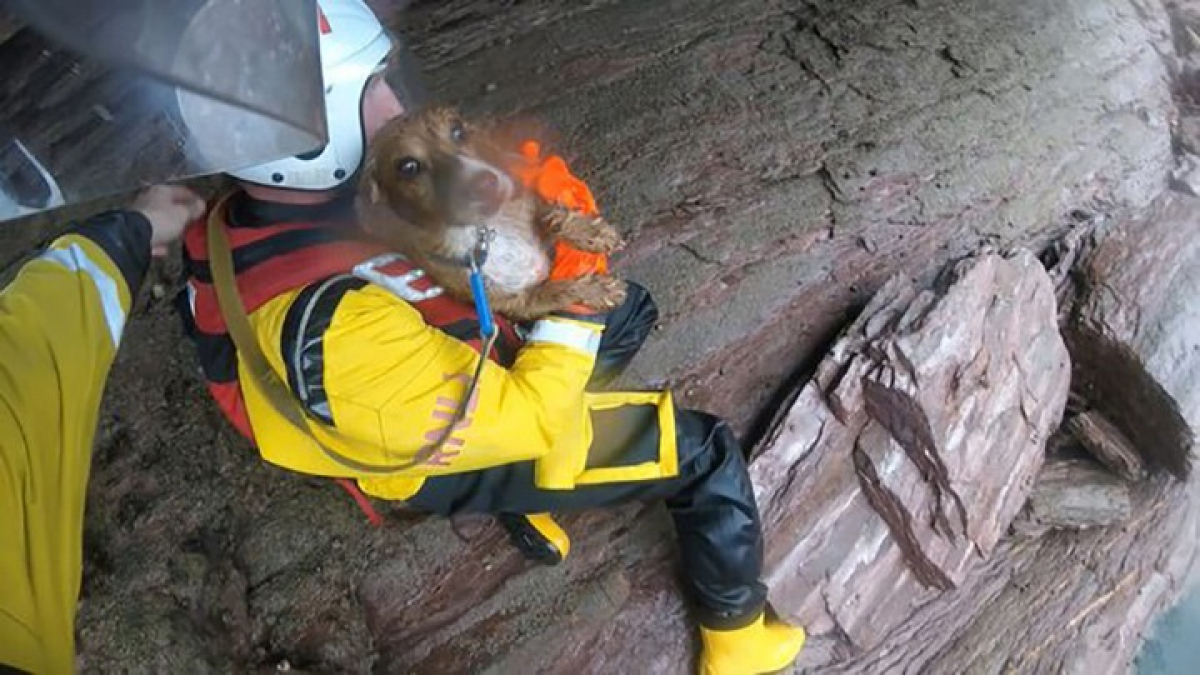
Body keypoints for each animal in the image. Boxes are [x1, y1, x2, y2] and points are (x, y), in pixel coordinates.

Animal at [355, 106, 628, 319]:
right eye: (408, 167)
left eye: (457, 131)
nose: (487, 184)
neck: (484, 231)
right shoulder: (520, 304)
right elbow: (557, 290)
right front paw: (598, 291)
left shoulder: (527, 200)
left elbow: (553, 216)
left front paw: (592, 233)